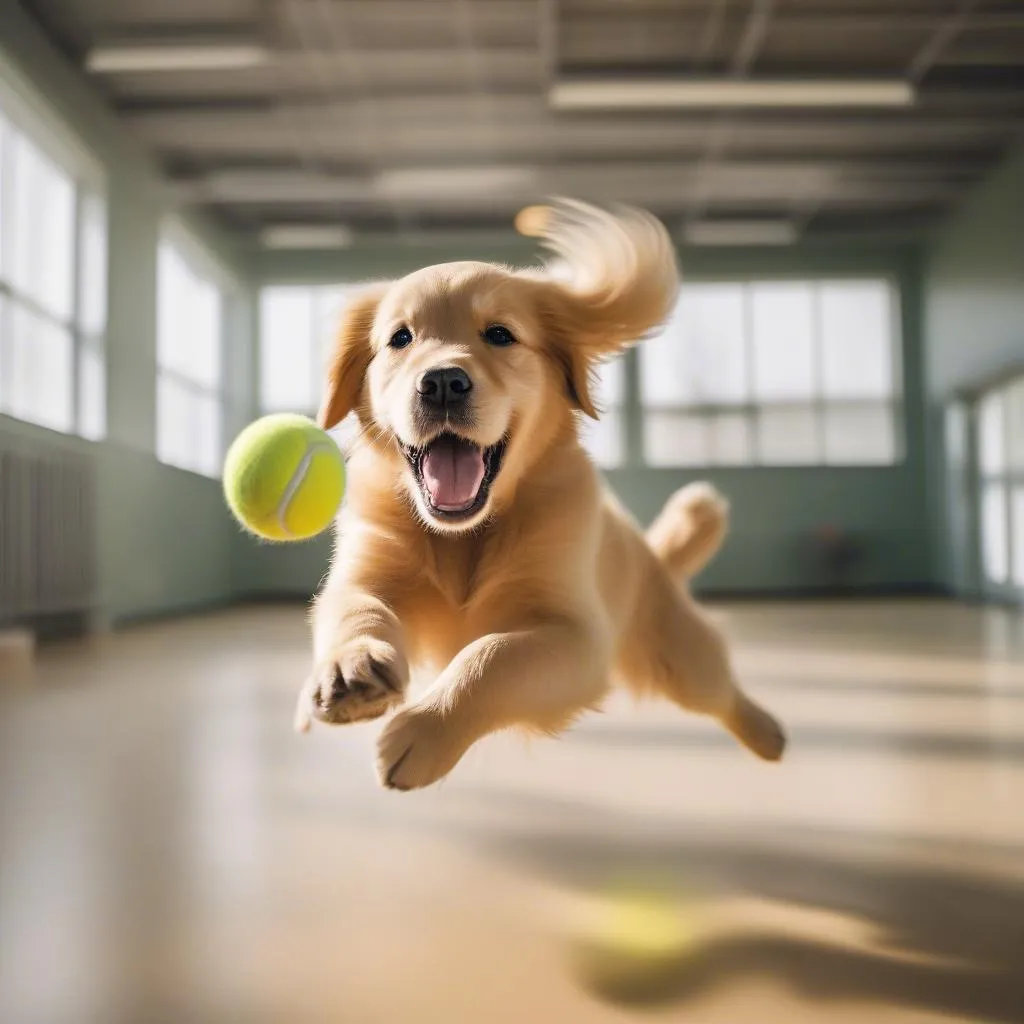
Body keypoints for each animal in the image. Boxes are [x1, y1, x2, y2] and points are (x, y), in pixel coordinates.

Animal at [292, 201, 786, 790]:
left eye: (500, 335)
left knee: (717, 687)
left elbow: (490, 656)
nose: (442, 383)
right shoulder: (367, 571)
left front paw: (425, 731)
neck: (464, 535)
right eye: (400, 339)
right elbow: (356, 609)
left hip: (677, 652)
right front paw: (350, 669)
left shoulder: (574, 634)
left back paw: (769, 734)